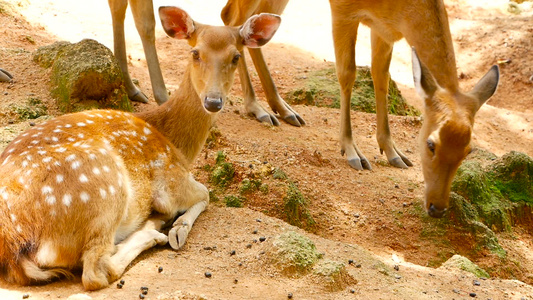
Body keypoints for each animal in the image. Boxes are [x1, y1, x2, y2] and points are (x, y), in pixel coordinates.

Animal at [0, 5, 280, 290]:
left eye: (236, 56)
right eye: (195, 52)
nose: (213, 101)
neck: (176, 144)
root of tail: (13, 249)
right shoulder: (171, 180)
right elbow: (205, 193)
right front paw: (177, 229)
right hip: (103, 187)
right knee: (96, 271)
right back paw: (152, 231)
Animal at [328, 0, 498, 217]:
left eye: (468, 151)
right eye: (430, 144)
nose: (437, 208)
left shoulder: (383, 28)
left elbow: (381, 76)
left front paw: (394, 153)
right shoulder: (342, 10)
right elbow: (347, 73)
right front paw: (353, 152)